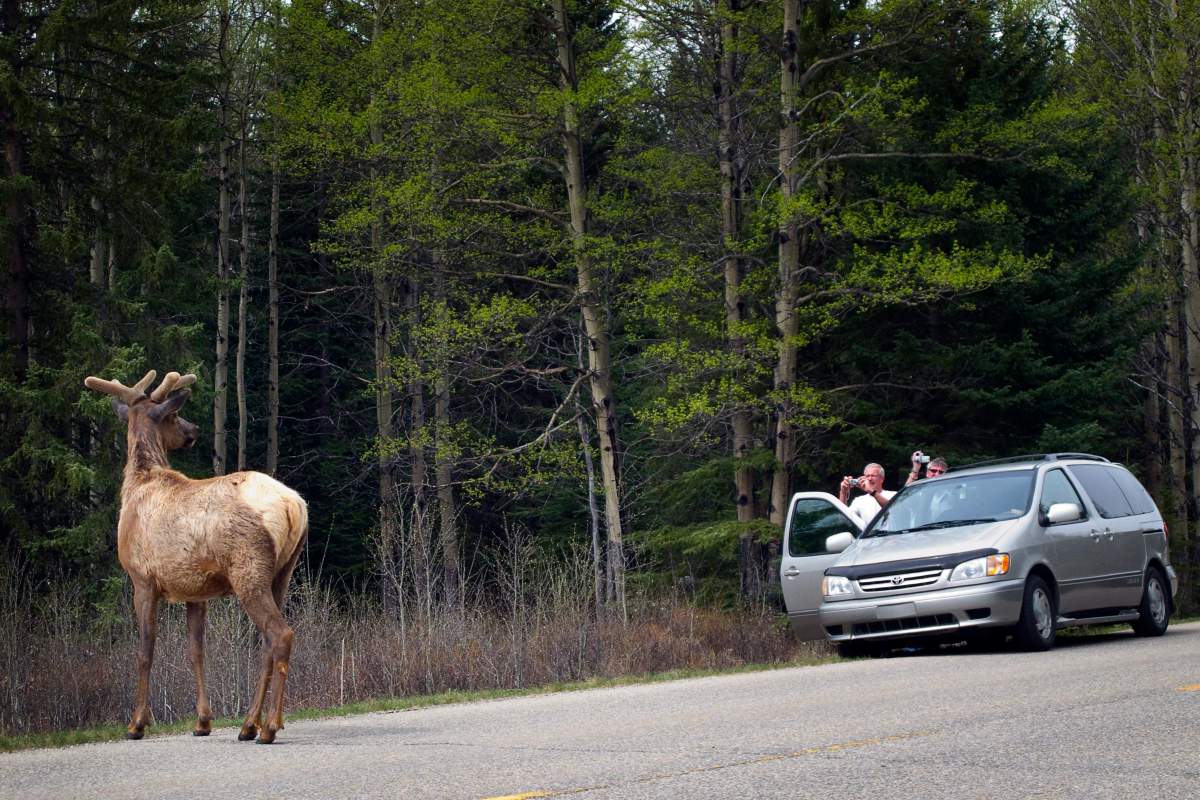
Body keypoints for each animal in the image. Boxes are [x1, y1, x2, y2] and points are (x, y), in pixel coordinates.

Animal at [85, 369, 308, 744]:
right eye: (175, 417)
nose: (193, 430)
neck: (138, 482)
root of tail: (294, 506)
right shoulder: (194, 590)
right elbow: (195, 650)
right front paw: (203, 720)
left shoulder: (142, 579)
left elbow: (145, 650)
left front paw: (136, 723)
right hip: (283, 572)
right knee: (267, 640)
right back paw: (249, 724)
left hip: (248, 568)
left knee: (281, 634)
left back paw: (269, 727)